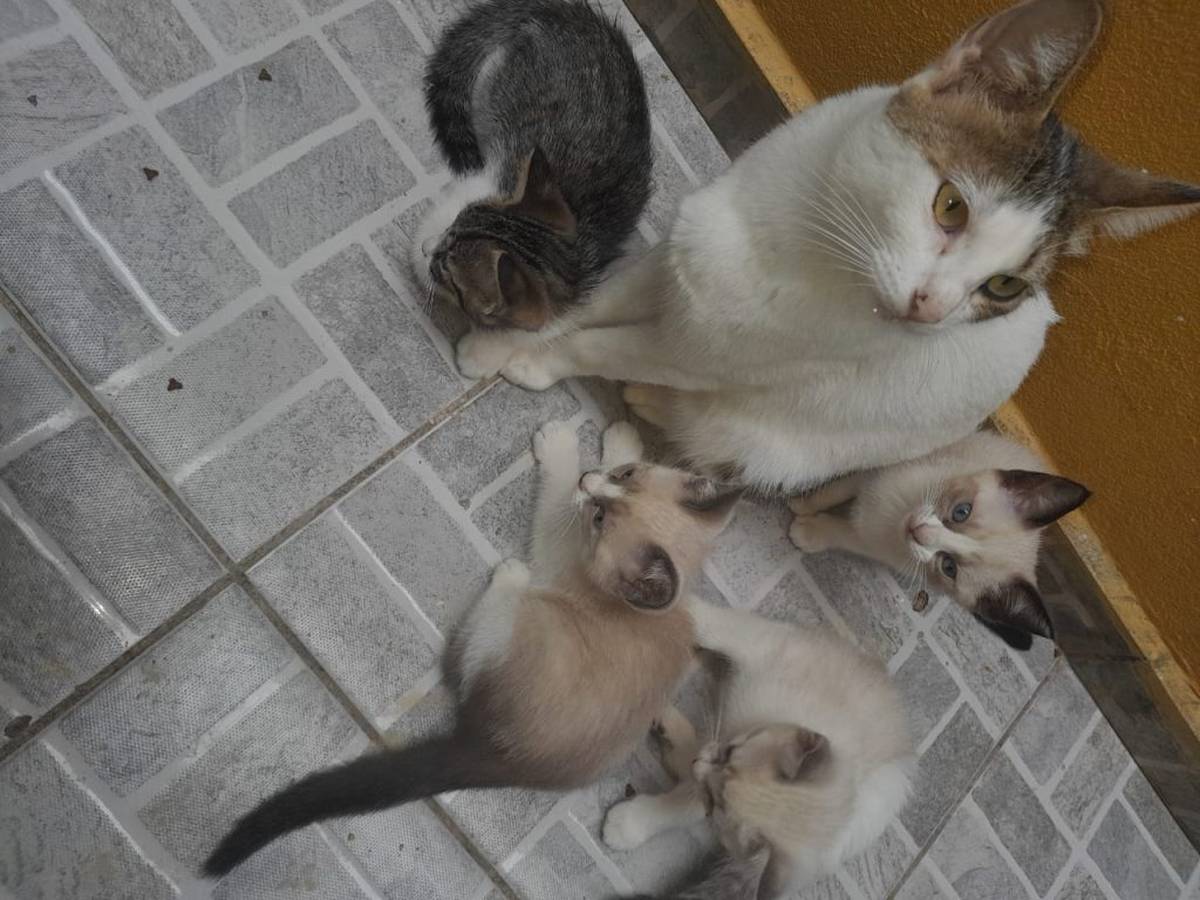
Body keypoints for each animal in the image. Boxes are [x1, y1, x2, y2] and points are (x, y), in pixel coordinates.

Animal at [202, 421, 742, 877]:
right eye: (623, 477)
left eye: (598, 517)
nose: (590, 478)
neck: (659, 605)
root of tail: (503, 757)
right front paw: (621, 436)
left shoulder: (559, 552)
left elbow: (553, 505)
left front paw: (559, 444)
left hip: (521, 621)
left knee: (466, 652)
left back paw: (510, 576)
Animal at [463, 0, 1200, 493]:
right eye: (951, 206)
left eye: (1003, 286)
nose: (931, 308)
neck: (798, 243)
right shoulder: (679, 249)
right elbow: (592, 303)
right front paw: (504, 343)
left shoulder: (695, 354)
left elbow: (600, 344)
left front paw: (537, 362)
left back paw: (652, 401)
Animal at [603, 603, 913, 898]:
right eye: (730, 752)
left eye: (717, 804)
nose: (699, 762)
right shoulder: (760, 643)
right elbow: (705, 620)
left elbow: (688, 804)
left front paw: (629, 824)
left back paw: (668, 729)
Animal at [788, 429, 1090, 649]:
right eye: (961, 512)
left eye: (948, 567)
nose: (918, 530)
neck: (900, 513)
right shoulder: (879, 472)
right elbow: (838, 490)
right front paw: (801, 502)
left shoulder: (876, 545)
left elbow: (846, 533)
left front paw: (808, 530)